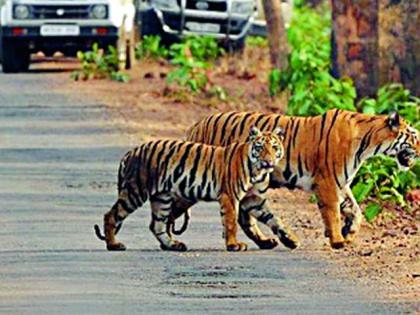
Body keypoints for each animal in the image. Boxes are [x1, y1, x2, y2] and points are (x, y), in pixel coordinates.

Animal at [94, 127, 286, 253]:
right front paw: (233, 245)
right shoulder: (230, 196)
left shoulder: (254, 199)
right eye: (260, 148)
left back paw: (173, 245)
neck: (258, 171)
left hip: (161, 197)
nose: (268, 161)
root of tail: (130, 153)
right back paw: (113, 245)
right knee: (111, 215)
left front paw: (289, 239)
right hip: (135, 191)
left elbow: (273, 219)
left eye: (274, 148)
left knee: (157, 224)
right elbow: (231, 222)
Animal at [170, 110, 416, 251]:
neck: (368, 141)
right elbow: (333, 212)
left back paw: (269, 242)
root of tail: (197, 126)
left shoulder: (342, 183)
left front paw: (349, 231)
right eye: (414, 137)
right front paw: (338, 239)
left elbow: (355, 210)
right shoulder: (328, 181)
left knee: (244, 216)